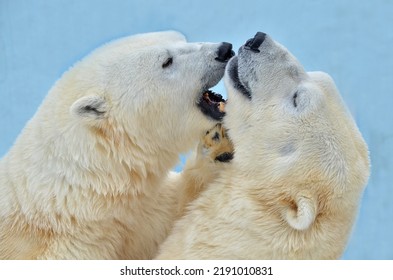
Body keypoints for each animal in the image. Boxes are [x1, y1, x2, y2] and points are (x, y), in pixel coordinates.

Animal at [0, 29, 233, 260]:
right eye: (166, 61)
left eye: (181, 39)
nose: (224, 50)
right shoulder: (70, 249)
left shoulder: (141, 215)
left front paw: (218, 147)